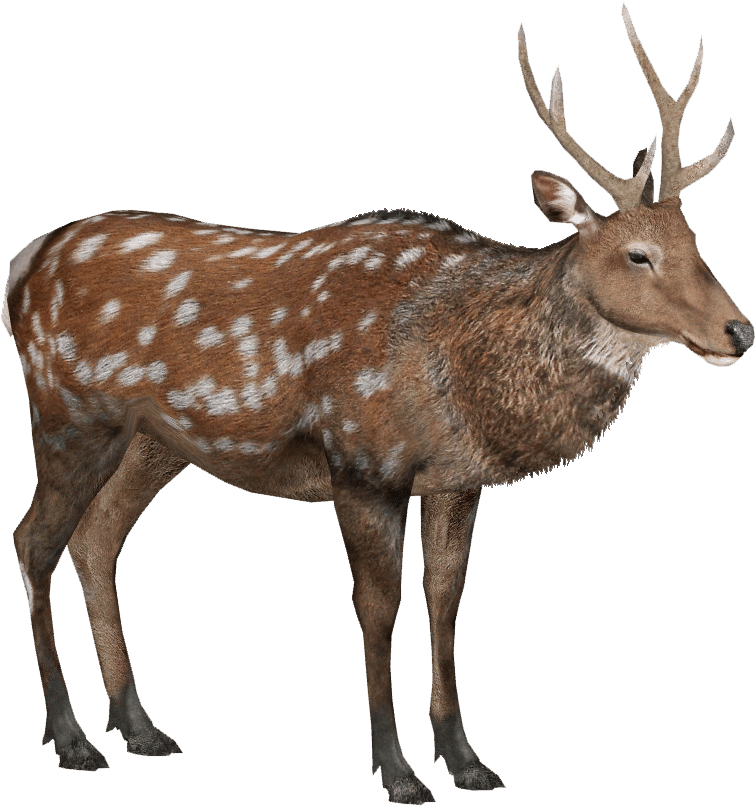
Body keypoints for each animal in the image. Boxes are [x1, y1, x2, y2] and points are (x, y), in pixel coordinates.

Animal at [6, 3, 750, 802]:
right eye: (637, 255)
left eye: (696, 240)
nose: (740, 330)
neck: (461, 370)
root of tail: (19, 273)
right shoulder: (362, 466)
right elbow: (378, 611)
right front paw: (398, 773)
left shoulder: (455, 481)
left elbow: (445, 603)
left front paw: (467, 761)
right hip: (66, 412)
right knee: (34, 539)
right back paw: (74, 739)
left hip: (152, 440)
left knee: (96, 537)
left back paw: (140, 727)